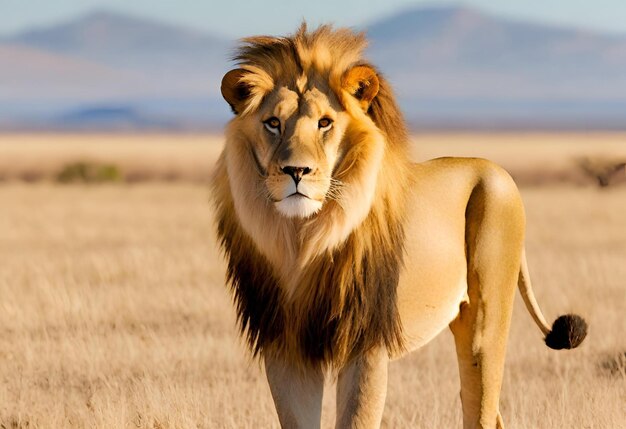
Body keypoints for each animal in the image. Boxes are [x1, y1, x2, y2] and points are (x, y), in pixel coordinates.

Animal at [211, 24, 584, 428]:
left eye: (325, 122)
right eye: (273, 123)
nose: (297, 171)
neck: (304, 239)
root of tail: (497, 170)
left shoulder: (365, 345)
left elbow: (357, 419)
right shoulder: (286, 346)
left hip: (486, 318)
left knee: (481, 403)